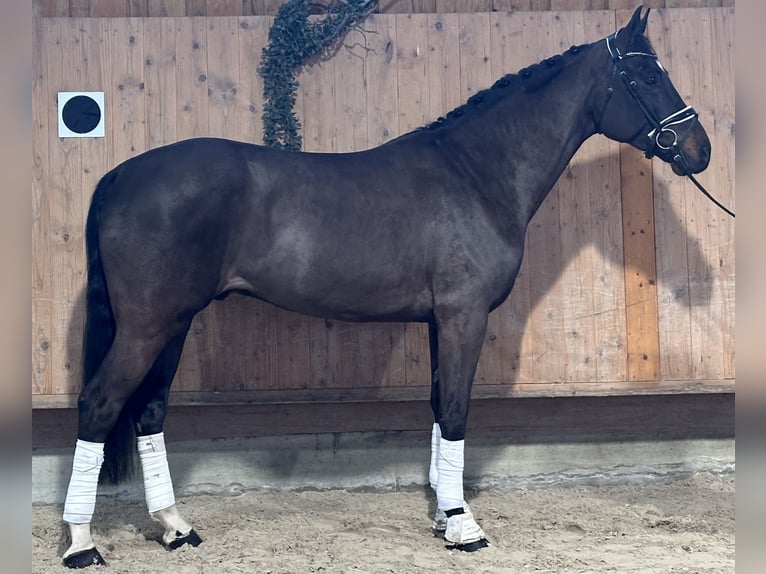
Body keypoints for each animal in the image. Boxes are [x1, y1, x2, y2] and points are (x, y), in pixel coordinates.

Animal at [60, 6, 711, 567]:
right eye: (647, 74)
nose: (699, 150)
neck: (476, 174)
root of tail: (120, 175)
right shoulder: (464, 316)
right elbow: (456, 411)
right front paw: (465, 527)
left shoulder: (440, 321)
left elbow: (438, 408)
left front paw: (444, 516)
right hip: (146, 326)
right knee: (99, 405)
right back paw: (82, 545)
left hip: (172, 324)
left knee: (148, 412)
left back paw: (176, 528)